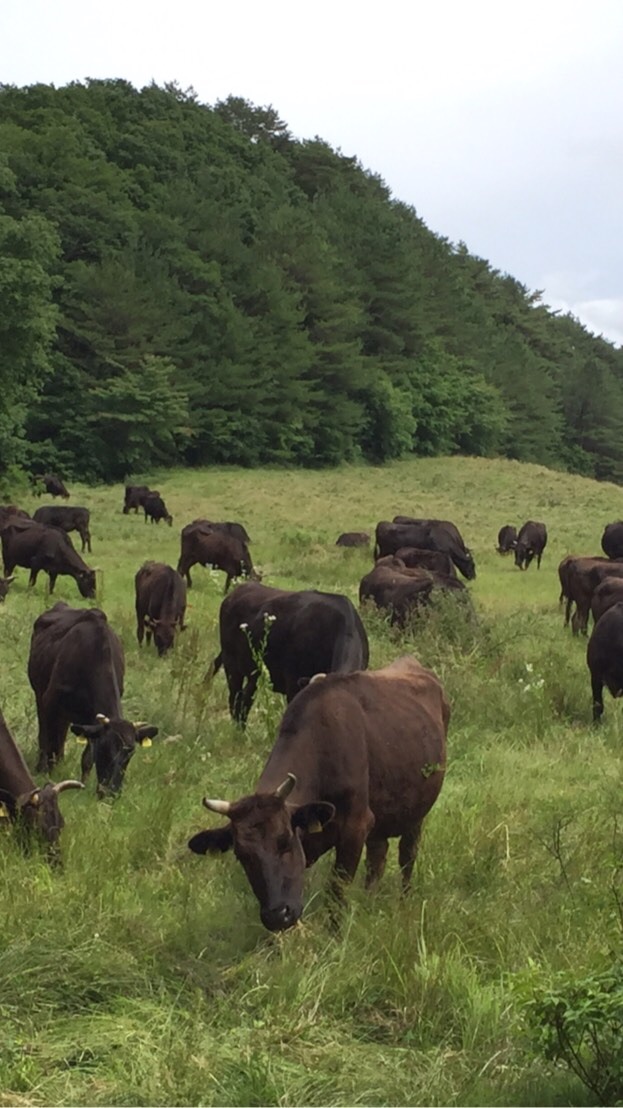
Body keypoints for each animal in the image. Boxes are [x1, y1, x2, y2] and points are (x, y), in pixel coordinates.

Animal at [28, 602, 157, 793]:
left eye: (130, 753)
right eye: (105, 749)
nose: (112, 791)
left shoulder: (91, 721)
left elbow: (87, 757)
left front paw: (83, 783)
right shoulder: (49, 702)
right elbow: (47, 739)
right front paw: (45, 772)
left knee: (61, 732)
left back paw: (60, 761)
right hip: (40, 695)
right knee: (46, 734)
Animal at [188, 655, 445, 935]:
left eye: (285, 841)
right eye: (241, 855)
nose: (277, 915)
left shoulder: (356, 826)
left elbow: (336, 890)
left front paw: (335, 935)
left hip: (416, 814)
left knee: (407, 855)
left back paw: (403, 902)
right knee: (378, 857)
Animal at [208, 580, 368, 726]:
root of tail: (236, 592)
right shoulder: (292, 685)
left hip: (254, 674)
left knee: (244, 701)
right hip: (231, 666)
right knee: (234, 700)